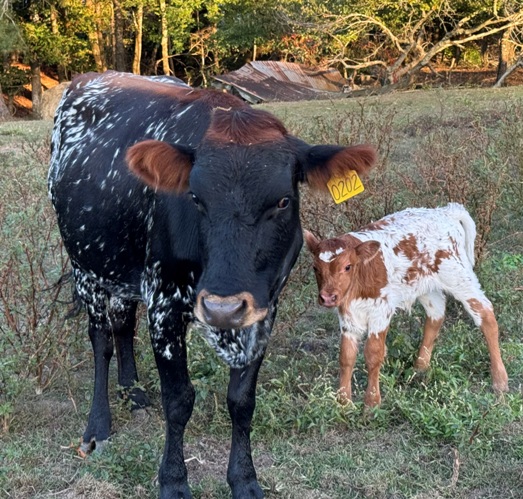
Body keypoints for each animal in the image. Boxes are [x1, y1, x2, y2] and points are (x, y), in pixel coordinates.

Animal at [48, 71, 376, 499]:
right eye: (195, 198)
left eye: (283, 201)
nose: (223, 308)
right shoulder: (165, 307)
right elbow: (178, 400)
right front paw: (173, 481)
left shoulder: (264, 310)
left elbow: (241, 400)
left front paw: (245, 480)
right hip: (86, 267)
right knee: (101, 338)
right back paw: (98, 426)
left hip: (123, 270)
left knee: (123, 323)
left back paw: (133, 393)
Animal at [304, 204, 510, 410]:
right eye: (315, 268)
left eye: (347, 266)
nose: (327, 297)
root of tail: (445, 210)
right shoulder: (347, 316)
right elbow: (346, 356)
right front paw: (343, 402)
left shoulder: (381, 310)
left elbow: (373, 353)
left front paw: (372, 402)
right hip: (426, 286)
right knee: (436, 314)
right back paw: (420, 368)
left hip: (458, 275)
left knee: (485, 314)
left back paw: (500, 381)